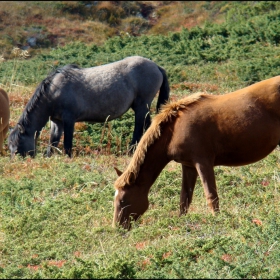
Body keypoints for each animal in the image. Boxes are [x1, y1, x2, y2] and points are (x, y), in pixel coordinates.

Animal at [8, 55, 170, 158]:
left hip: (142, 105)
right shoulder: (56, 122)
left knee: (139, 127)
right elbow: (53, 142)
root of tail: (156, 66)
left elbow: (67, 141)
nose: (16, 161)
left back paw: (131, 151)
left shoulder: (69, 119)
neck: (54, 91)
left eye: (19, 144)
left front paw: (68, 157)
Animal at [112, 75, 280, 230]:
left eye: (123, 200)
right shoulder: (188, 166)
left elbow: (211, 196)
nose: (117, 228)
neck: (174, 131)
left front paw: (218, 221)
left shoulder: (203, 162)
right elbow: (185, 198)